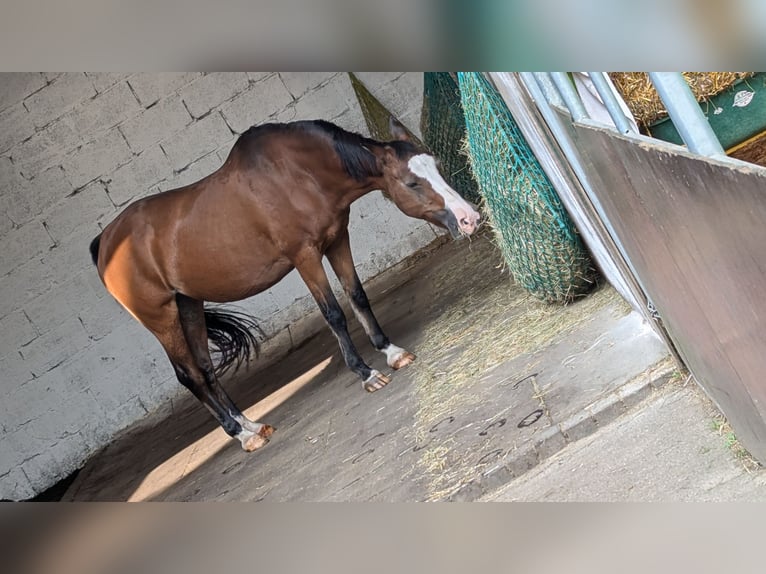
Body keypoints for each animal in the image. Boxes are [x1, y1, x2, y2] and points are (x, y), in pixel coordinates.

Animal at [88, 117, 480, 454]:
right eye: (413, 183)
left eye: (438, 166)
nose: (470, 218)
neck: (298, 175)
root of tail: (104, 244)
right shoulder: (305, 256)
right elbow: (334, 314)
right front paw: (367, 373)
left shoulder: (338, 240)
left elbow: (357, 296)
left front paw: (392, 352)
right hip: (161, 317)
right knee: (190, 376)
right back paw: (241, 436)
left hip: (188, 304)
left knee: (205, 368)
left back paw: (251, 425)